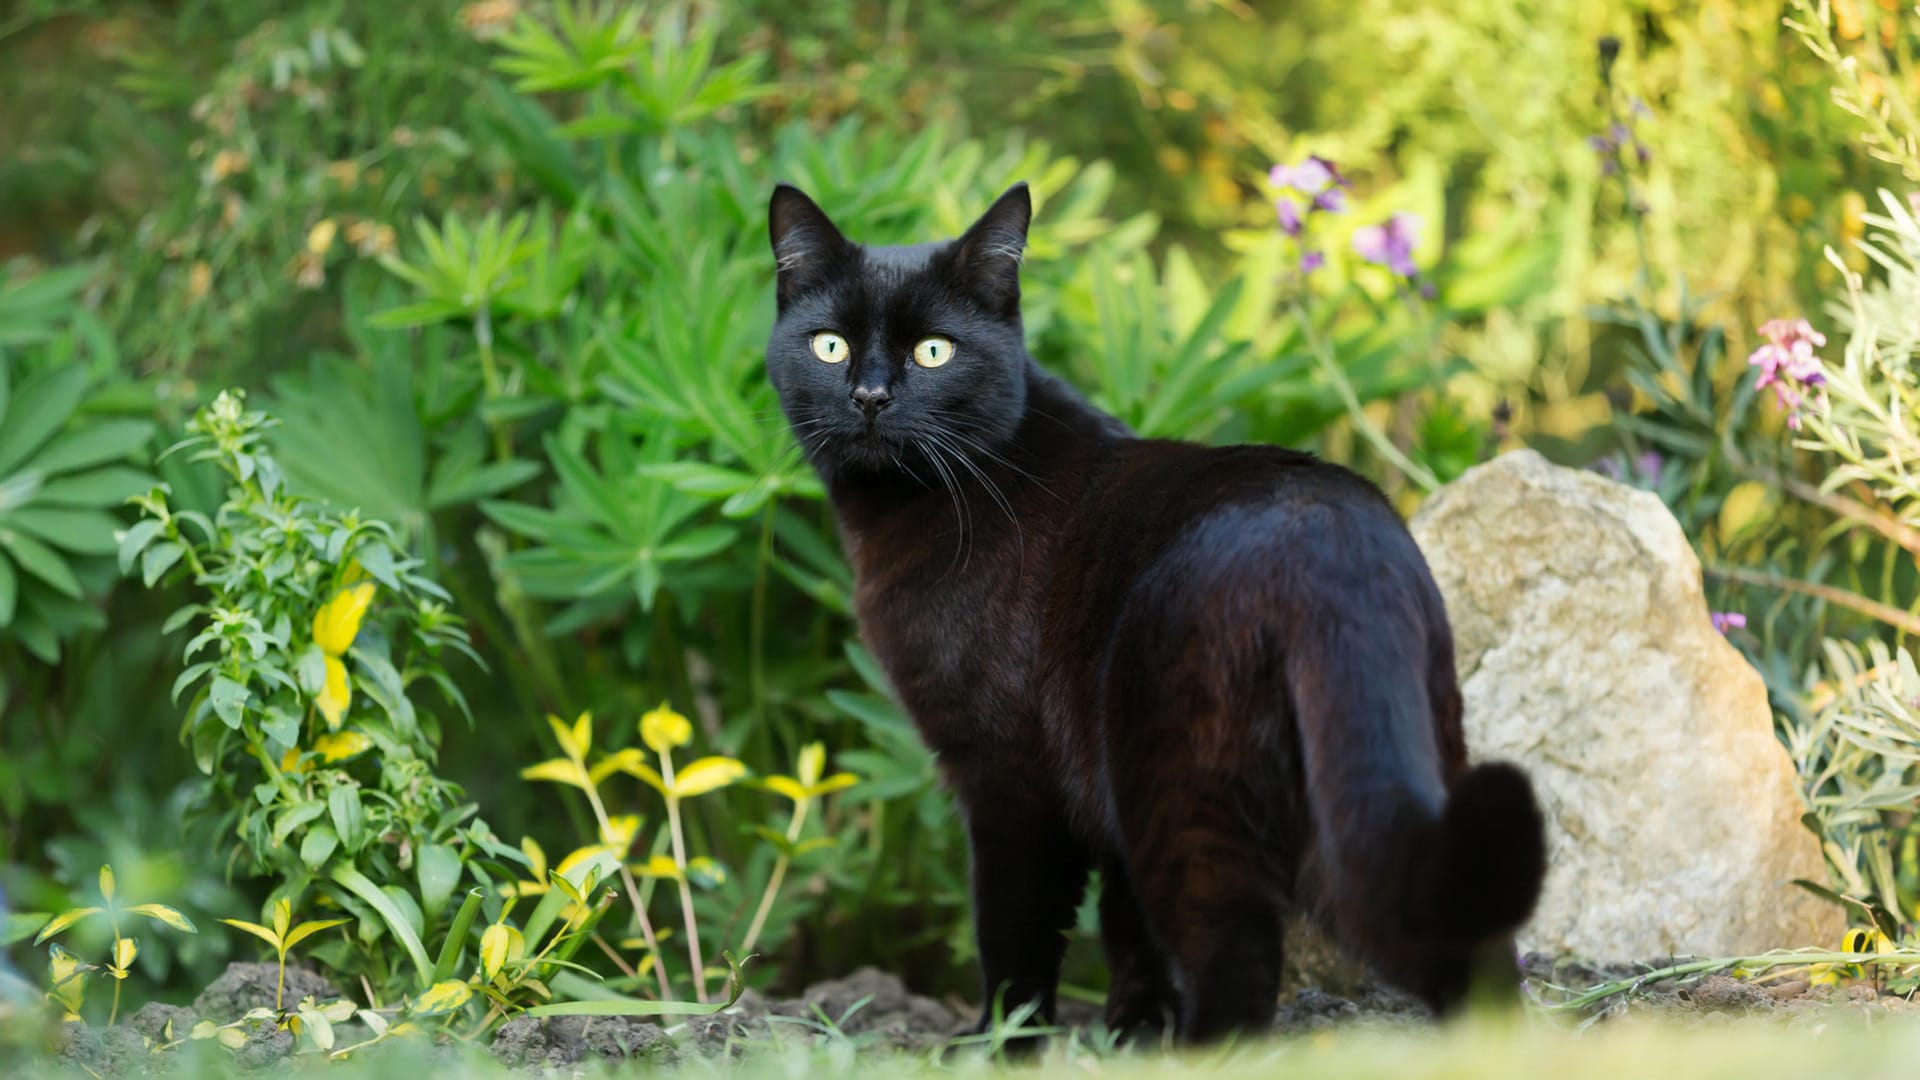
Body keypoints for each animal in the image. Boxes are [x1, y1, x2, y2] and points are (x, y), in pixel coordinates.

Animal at [760, 180, 1543, 1037]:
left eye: (935, 351)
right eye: (830, 346)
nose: (869, 395)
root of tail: (1334, 543)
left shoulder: (1008, 774)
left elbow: (1016, 929)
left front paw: (1005, 1038)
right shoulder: (1092, 787)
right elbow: (1124, 922)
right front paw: (1134, 1027)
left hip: (1183, 790)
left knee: (1236, 958)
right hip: (1372, 776)